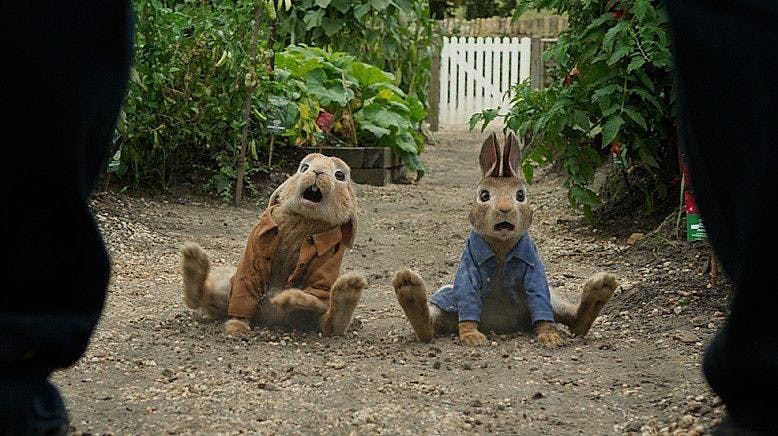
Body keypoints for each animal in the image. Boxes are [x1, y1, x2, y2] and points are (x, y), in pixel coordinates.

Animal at [180, 153, 366, 336]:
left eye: (340, 175)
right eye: (304, 167)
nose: (317, 172)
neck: (306, 218)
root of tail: (268, 319)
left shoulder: (330, 257)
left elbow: (317, 286)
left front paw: (289, 298)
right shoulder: (252, 254)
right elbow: (245, 288)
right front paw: (237, 327)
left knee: (329, 324)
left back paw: (348, 289)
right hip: (228, 288)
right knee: (204, 299)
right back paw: (193, 258)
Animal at [392, 132, 618, 347]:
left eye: (520, 196)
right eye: (484, 196)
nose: (505, 209)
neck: (501, 246)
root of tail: (501, 324)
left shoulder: (535, 270)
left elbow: (539, 298)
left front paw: (550, 337)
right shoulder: (468, 267)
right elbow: (468, 296)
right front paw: (472, 337)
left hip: (553, 300)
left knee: (574, 321)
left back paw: (602, 288)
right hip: (445, 302)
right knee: (430, 326)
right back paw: (408, 287)